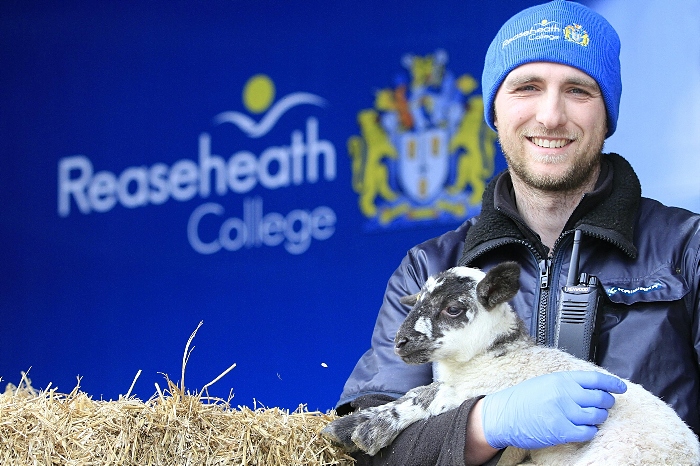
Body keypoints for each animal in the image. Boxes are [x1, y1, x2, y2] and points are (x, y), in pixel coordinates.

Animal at [324, 262, 700, 466]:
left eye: (453, 308)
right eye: (417, 301)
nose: (400, 342)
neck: (496, 357)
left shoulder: (480, 390)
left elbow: (426, 398)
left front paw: (365, 430)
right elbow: (417, 391)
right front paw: (354, 423)